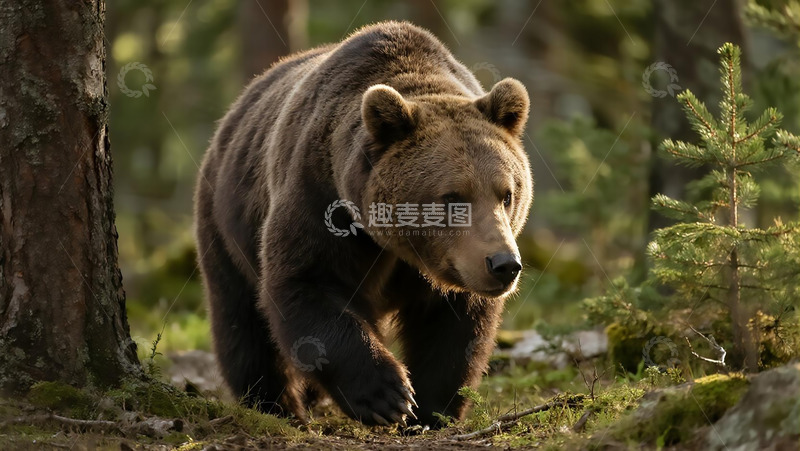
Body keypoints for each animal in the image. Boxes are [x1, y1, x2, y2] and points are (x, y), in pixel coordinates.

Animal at [194, 21, 533, 427]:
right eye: (453, 197)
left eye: (507, 194)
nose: (504, 264)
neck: (396, 245)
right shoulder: (318, 198)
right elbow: (308, 284)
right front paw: (387, 395)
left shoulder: (454, 267)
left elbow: (453, 327)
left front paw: (431, 410)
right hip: (226, 224)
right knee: (241, 323)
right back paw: (276, 406)